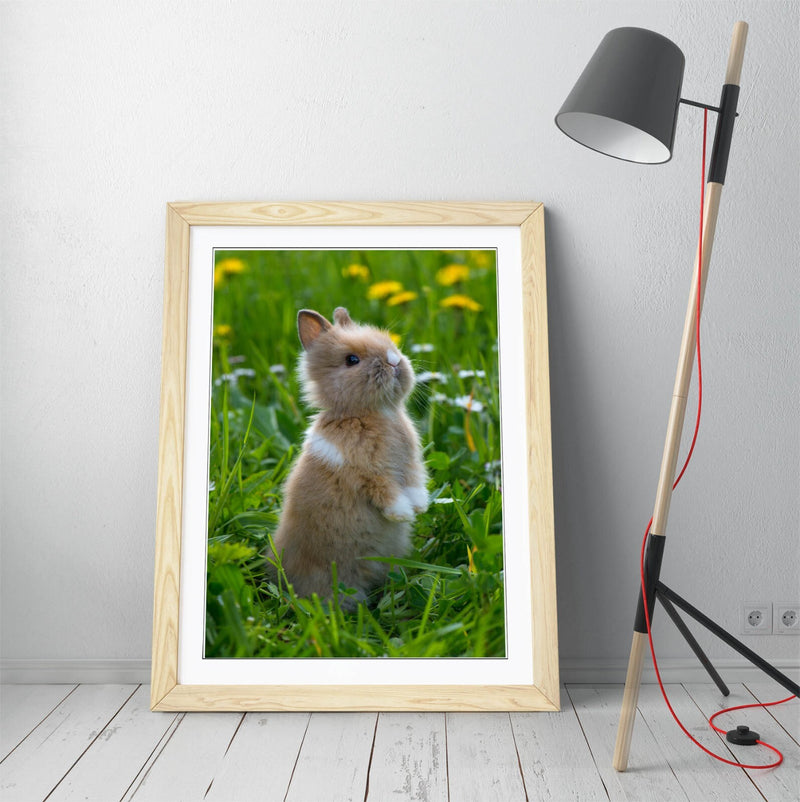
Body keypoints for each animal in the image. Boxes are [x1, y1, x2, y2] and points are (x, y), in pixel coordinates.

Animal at [267, 306, 429, 607]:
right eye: (351, 360)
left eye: (390, 344)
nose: (394, 361)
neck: (374, 412)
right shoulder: (367, 472)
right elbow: (386, 490)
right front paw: (402, 514)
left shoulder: (410, 463)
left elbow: (414, 482)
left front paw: (420, 507)